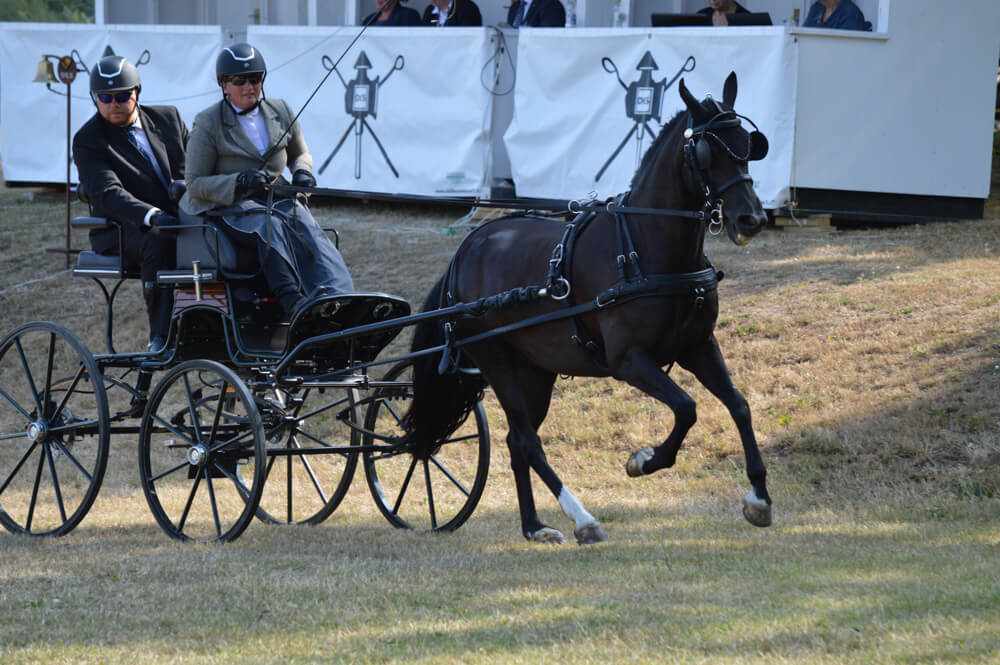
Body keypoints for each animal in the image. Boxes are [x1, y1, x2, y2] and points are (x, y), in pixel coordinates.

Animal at [402, 72, 768, 544]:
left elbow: (739, 405)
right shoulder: (628, 361)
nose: (751, 220)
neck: (645, 247)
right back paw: (582, 519)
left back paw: (534, 526)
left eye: (748, 144)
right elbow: (687, 408)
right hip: (497, 360)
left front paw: (759, 497)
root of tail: (467, 250)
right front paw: (644, 461)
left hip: (535, 371)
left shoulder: (698, 346)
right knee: (529, 441)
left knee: (517, 441)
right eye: (707, 152)